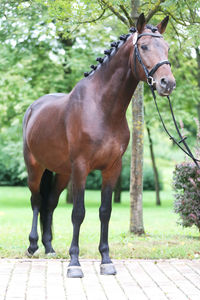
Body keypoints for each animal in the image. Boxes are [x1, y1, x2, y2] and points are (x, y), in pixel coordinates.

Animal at [22, 12, 175, 278]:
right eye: (144, 46)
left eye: (166, 47)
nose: (167, 83)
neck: (102, 108)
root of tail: (33, 109)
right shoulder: (81, 167)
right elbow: (78, 213)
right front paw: (74, 263)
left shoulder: (112, 168)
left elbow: (105, 211)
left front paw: (106, 260)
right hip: (35, 167)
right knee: (37, 201)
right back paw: (33, 246)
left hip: (62, 172)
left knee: (50, 204)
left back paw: (49, 247)